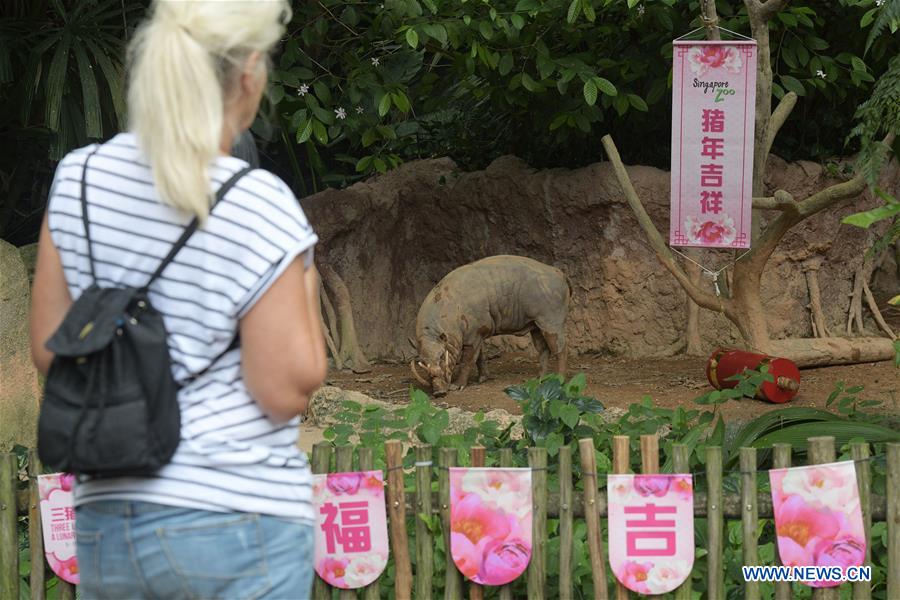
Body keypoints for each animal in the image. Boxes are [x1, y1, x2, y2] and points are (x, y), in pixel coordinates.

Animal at [410, 255, 568, 396]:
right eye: (422, 362)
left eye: (443, 356)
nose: (439, 392)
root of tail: (560, 273)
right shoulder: (478, 333)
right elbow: (480, 356)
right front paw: (483, 378)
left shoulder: (472, 335)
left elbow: (467, 361)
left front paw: (457, 386)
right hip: (535, 323)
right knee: (543, 348)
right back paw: (540, 378)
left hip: (550, 319)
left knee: (559, 348)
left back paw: (560, 380)